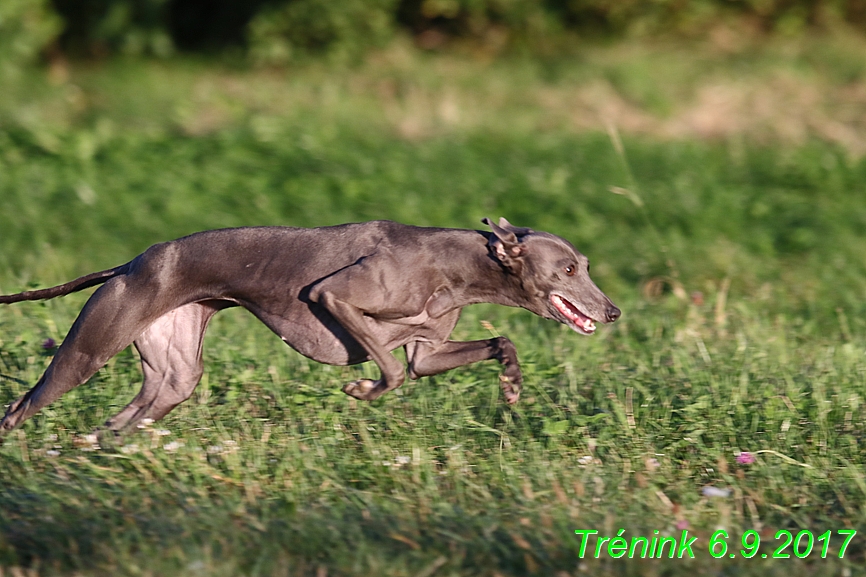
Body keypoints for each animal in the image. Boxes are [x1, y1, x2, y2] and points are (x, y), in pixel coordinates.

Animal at [1, 218, 620, 434]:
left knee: (118, 421)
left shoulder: (428, 352)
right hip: (88, 351)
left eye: (587, 265)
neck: (458, 263)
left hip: (172, 379)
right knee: (20, 405)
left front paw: (512, 385)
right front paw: (362, 388)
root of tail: (129, 264)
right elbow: (391, 371)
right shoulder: (334, 298)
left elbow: (494, 342)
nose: (613, 311)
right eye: (568, 269)